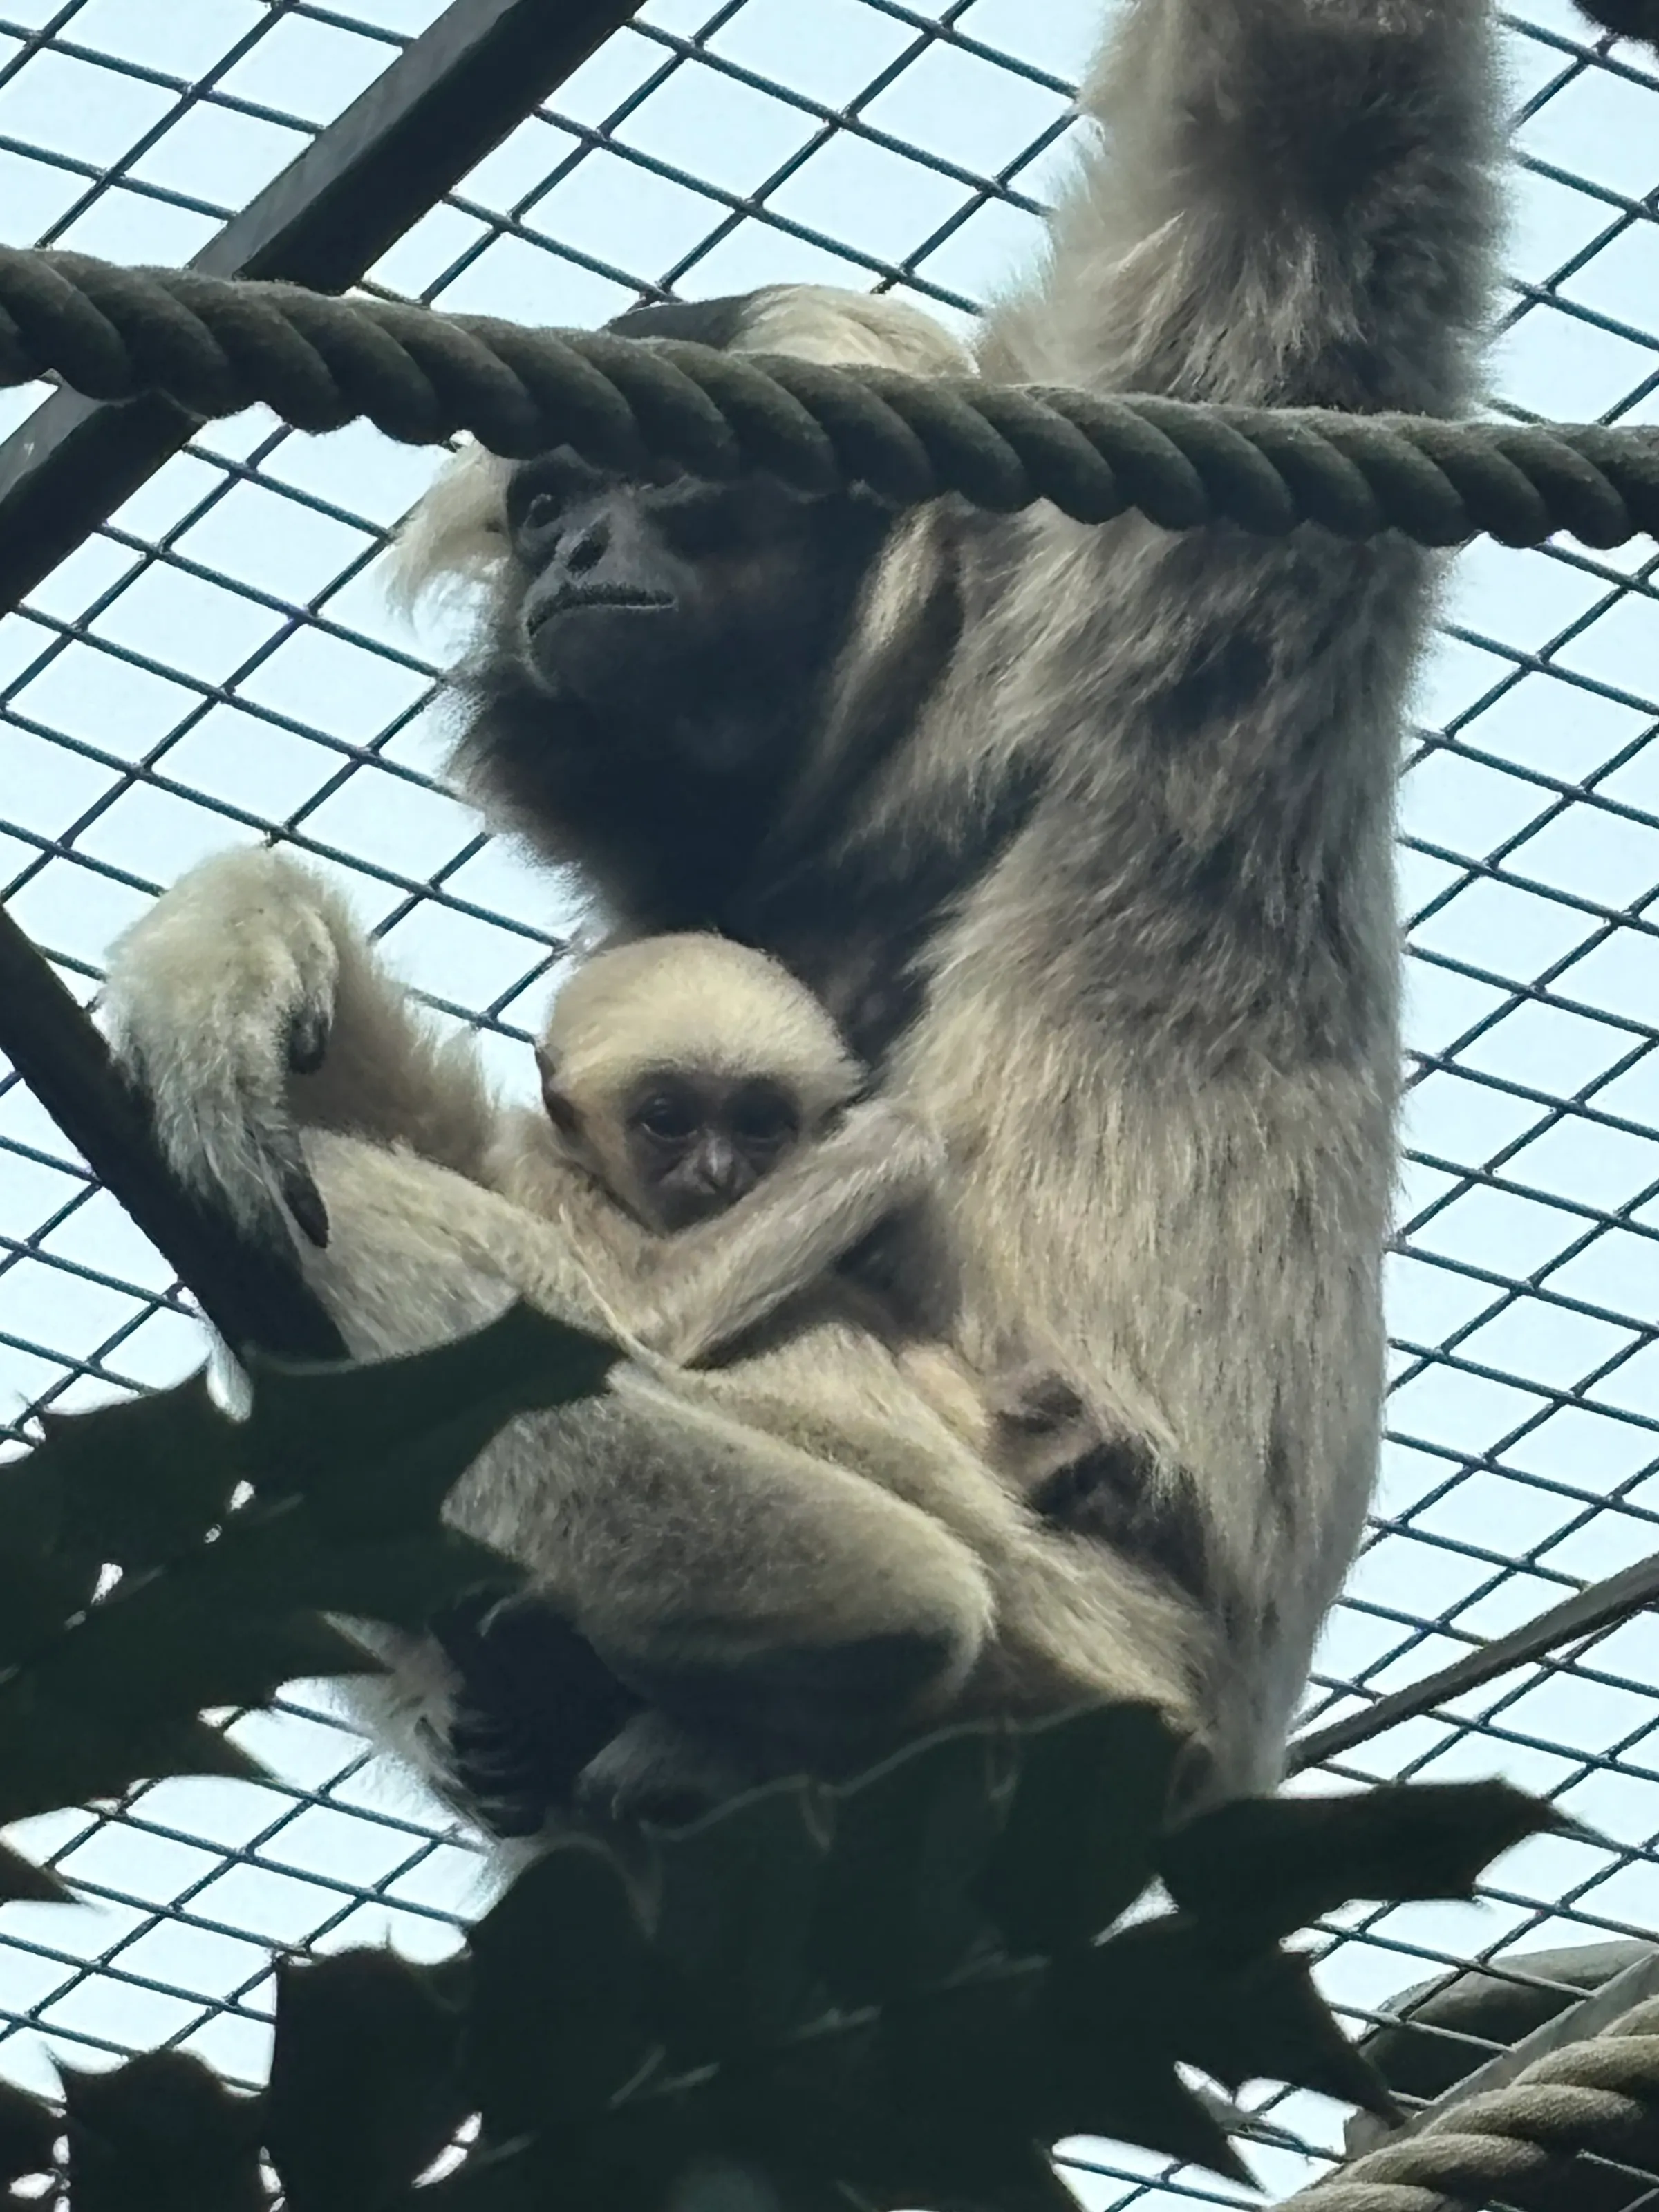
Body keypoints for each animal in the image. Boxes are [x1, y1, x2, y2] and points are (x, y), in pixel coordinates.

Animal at [104, 0, 1503, 1817]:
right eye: (549, 504)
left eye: (662, 482)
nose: (578, 552)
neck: (889, 788)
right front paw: (235, 960)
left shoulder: (1168, 618)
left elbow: (1317, 138)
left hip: (1071, 1663)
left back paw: (855, 1621)